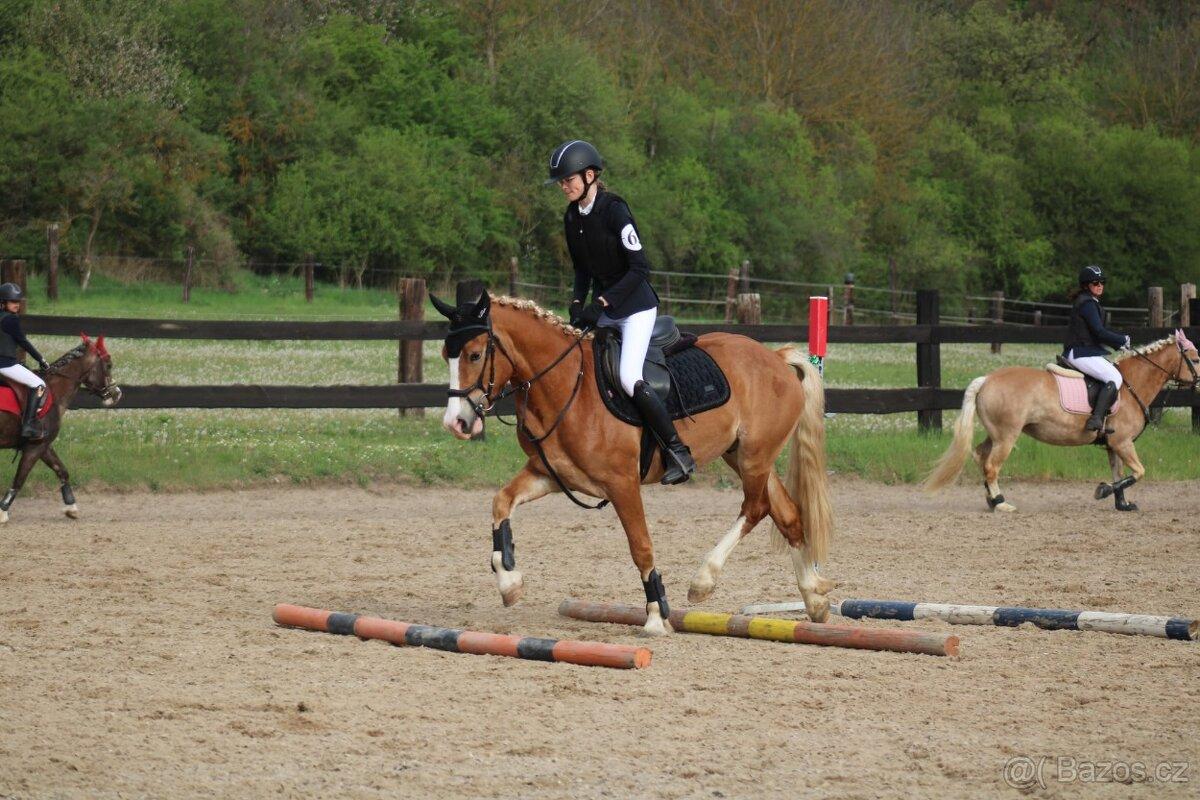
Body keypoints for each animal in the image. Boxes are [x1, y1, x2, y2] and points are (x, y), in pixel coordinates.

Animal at [0, 334, 122, 524]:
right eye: (108, 365)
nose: (117, 394)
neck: (54, 390)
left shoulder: (44, 446)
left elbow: (62, 471)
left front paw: (71, 507)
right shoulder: (35, 447)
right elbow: (19, 480)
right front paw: (3, 512)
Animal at [433, 290, 836, 636]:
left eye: (473, 355)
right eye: (444, 355)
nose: (456, 423)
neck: (566, 385)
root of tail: (776, 357)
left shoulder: (622, 483)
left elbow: (640, 545)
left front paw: (657, 615)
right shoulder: (549, 474)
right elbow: (500, 502)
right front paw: (509, 581)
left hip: (754, 456)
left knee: (755, 507)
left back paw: (703, 581)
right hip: (742, 455)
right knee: (786, 513)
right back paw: (814, 599)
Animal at [923, 330, 1198, 512]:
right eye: (1194, 359)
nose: (1199, 384)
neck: (1132, 384)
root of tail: (987, 379)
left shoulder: (1115, 444)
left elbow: (1119, 472)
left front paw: (1123, 504)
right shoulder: (1123, 443)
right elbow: (1138, 472)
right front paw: (1103, 491)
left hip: (995, 434)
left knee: (981, 455)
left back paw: (991, 500)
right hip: (1006, 436)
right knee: (991, 465)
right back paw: (1001, 504)